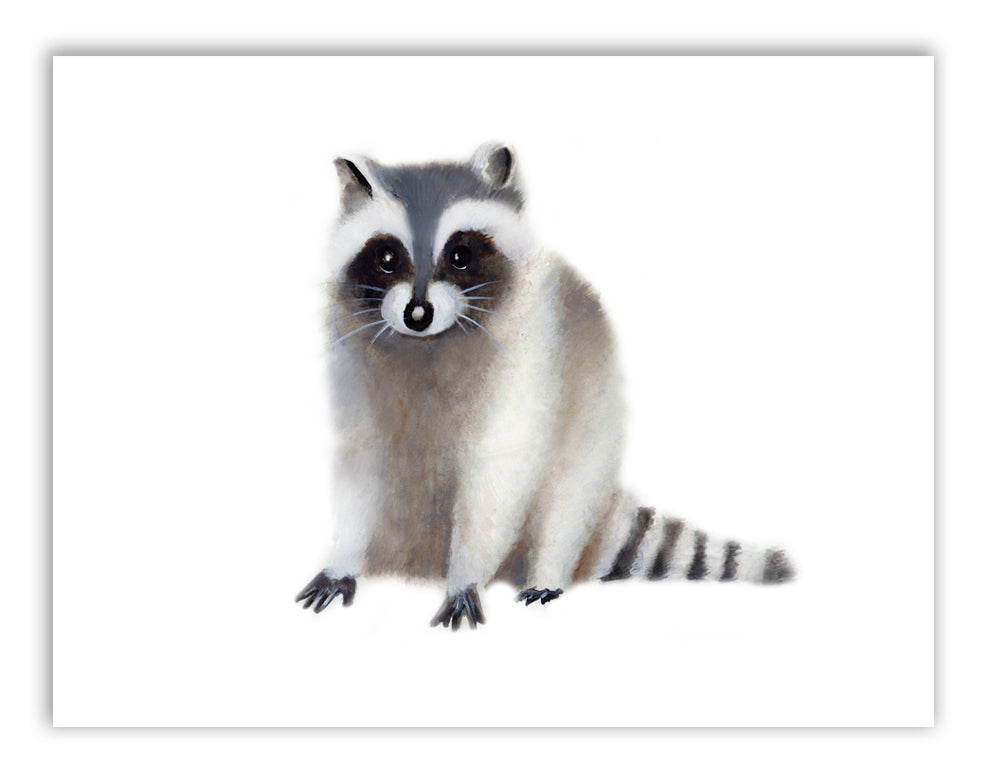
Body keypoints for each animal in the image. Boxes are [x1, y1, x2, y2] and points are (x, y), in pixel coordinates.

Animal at [295, 143, 794, 629]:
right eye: (386, 258)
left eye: (461, 255)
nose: (417, 314)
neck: (429, 345)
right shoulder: (354, 361)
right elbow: (362, 462)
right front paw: (343, 558)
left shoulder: (528, 353)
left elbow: (498, 472)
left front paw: (466, 578)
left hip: (595, 412)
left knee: (569, 495)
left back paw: (546, 569)